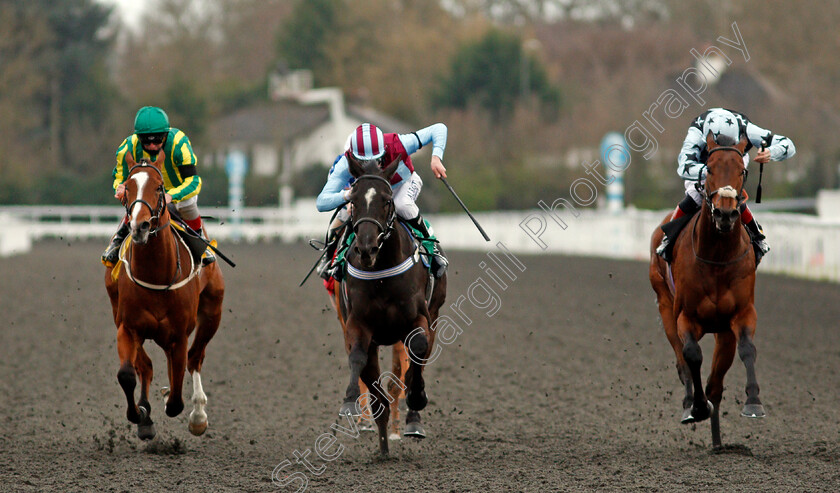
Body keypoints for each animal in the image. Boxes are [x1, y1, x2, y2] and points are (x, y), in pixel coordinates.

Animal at [103, 152, 225, 440]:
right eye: (128, 186)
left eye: (159, 187)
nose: (139, 226)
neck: (157, 272)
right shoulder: (128, 327)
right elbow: (128, 373)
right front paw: (140, 414)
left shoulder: (179, 334)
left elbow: (177, 394)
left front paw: (180, 405)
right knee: (146, 366)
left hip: (212, 314)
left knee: (195, 358)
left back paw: (198, 415)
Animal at [332, 156, 446, 452]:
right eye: (353, 200)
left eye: (386, 200)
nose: (366, 248)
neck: (381, 270)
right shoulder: (357, 324)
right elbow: (357, 358)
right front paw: (349, 403)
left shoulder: (418, 319)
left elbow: (417, 349)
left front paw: (416, 399)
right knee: (374, 384)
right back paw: (382, 442)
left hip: (434, 315)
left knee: (419, 357)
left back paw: (411, 419)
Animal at [648, 133, 768, 448]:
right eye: (709, 169)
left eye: (742, 170)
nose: (726, 213)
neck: (717, 257)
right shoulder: (685, 317)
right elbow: (692, 355)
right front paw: (697, 407)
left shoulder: (741, 314)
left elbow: (748, 349)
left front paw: (753, 403)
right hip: (664, 306)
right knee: (682, 362)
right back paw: (690, 403)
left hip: (723, 332)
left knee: (716, 383)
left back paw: (717, 442)